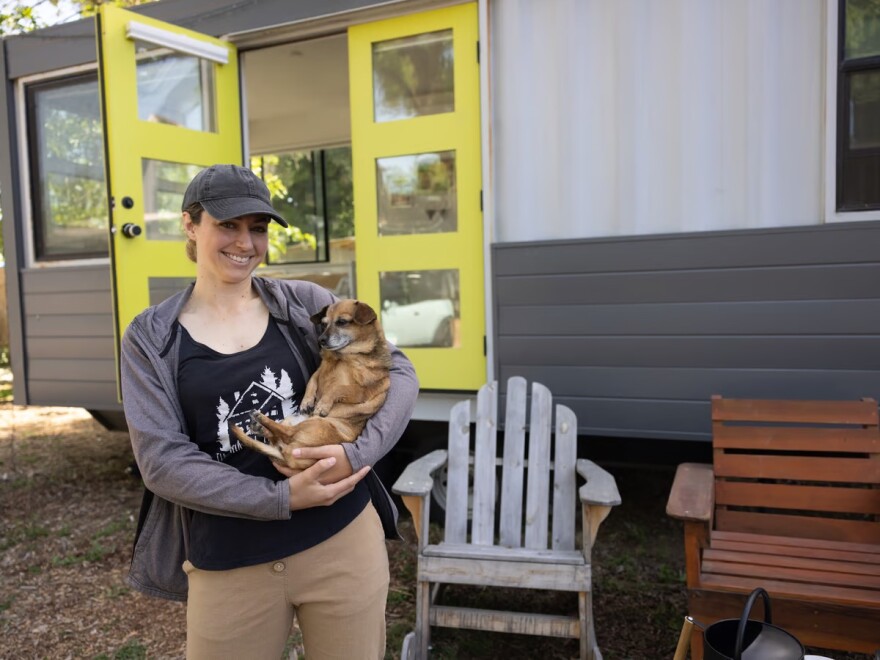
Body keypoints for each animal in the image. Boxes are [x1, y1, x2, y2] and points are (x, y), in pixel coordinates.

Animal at [232, 300, 390, 470]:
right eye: (324, 324)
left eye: (342, 322)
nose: (321, 340)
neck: (343, 356)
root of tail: (285, 456)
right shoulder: (318, 372)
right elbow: (311, 382)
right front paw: (307, 401)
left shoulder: (360, 391)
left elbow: (337, 388)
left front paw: (322, 405)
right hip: (297, 422)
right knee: (279, 434)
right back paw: (260, 426)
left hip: (318, 425)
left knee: (286, 433)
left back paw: (260, 419)